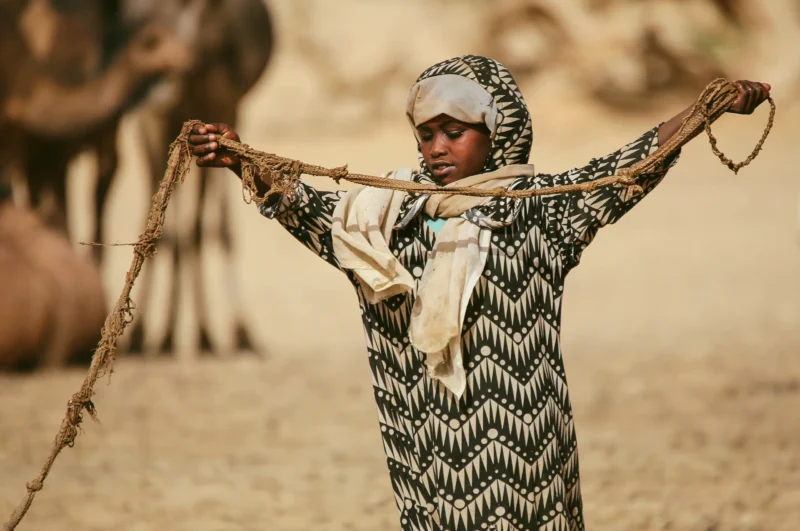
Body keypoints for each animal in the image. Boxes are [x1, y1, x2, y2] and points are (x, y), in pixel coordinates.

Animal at [118, 0, 275, 356]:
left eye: (188, 60)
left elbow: (214, 228)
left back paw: (203, 335)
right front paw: (150, 335)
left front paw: (233, 334)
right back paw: (158, 336)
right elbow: (164, 226)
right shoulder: (156, 121)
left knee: (199, 226)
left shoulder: (226, 104)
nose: (158, 94)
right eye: (148, 43)